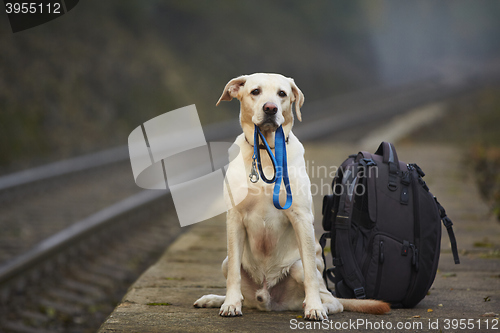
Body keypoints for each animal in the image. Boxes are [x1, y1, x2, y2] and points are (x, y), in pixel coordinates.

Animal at [193, 73, 388, 320]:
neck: (266, 151)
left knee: (333, 299)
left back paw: (317, 305)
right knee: (240, 285)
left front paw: (314, 308)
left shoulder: (301, 218)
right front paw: (230, 304)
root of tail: (268, 300)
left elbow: (312, 275)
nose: (270, 108)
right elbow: (234, 276)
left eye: (282, 94)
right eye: (255, 91)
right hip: (226, 263)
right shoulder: (234, 218)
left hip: (298, 268)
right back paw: (216, 299)